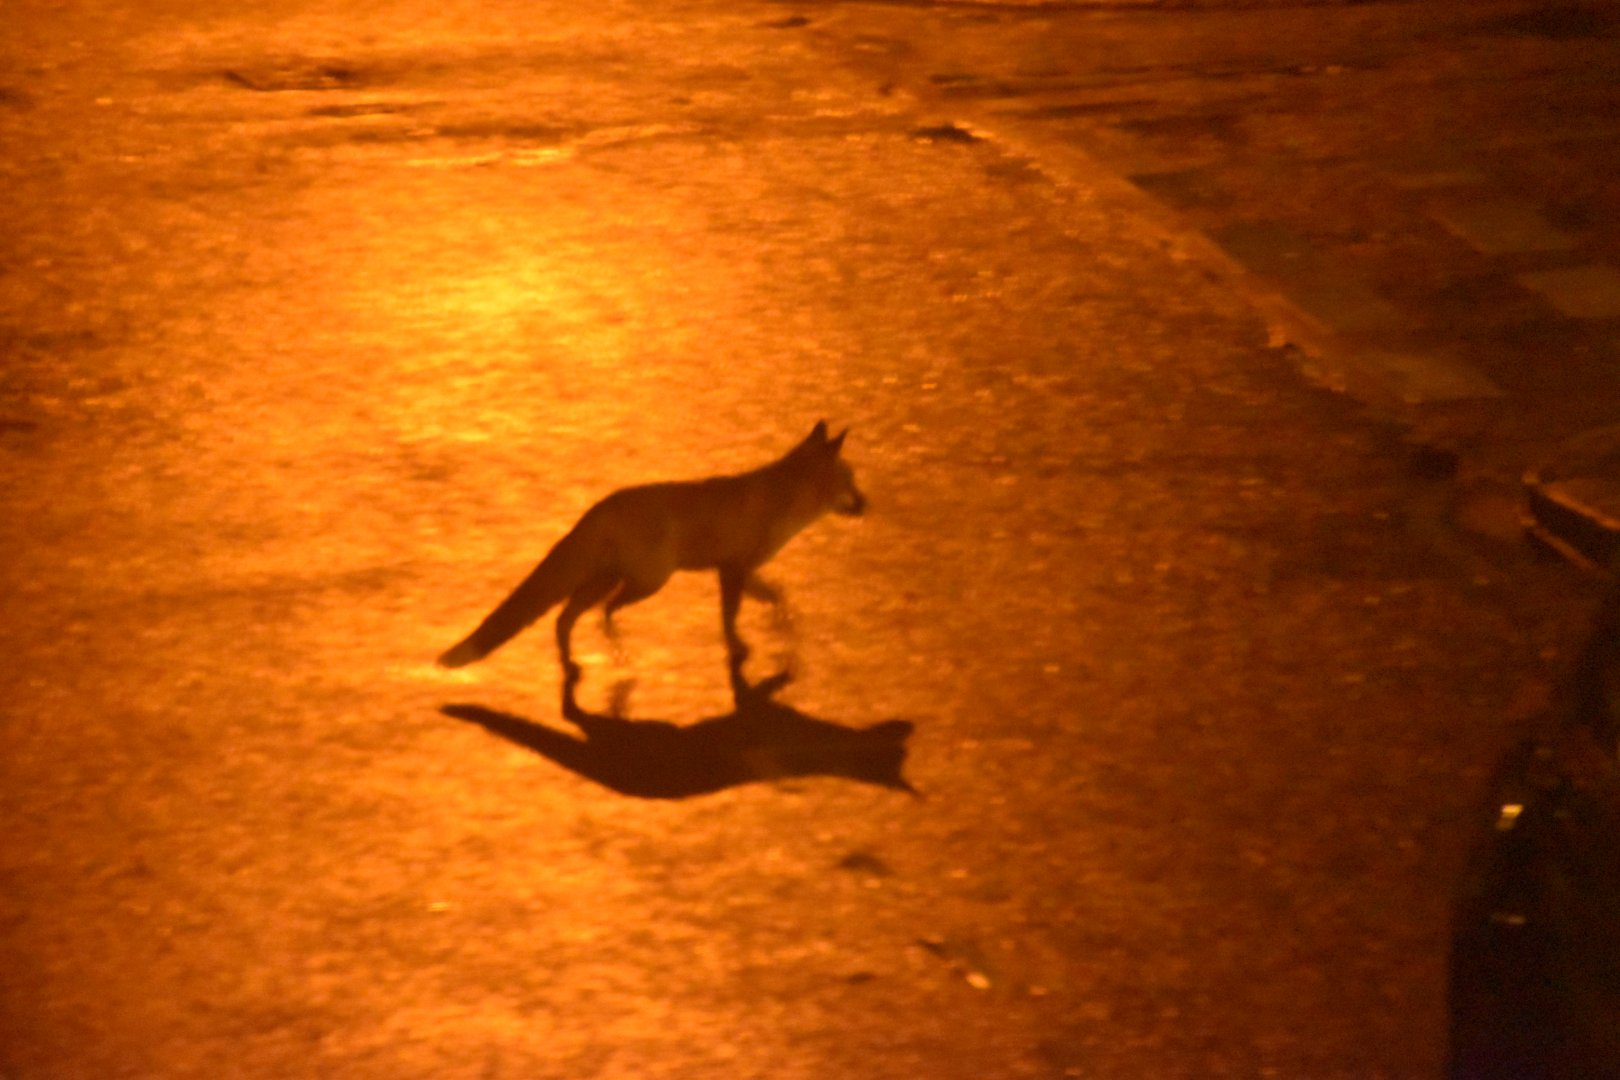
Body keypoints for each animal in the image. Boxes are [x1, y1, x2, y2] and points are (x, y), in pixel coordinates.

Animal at [437, 421, 866, 699]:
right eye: (851, 482)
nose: (867, 504)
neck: (783, 499)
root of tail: (599, 508)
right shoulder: (733, 569)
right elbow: (731, 617)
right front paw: (742, 648)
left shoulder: (741, 569)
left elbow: (778, 596)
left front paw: (783, 628)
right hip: (649, 582)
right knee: (603, 613)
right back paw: (616, 652)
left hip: (603, 582)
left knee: (565, 618)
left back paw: (576, 663)